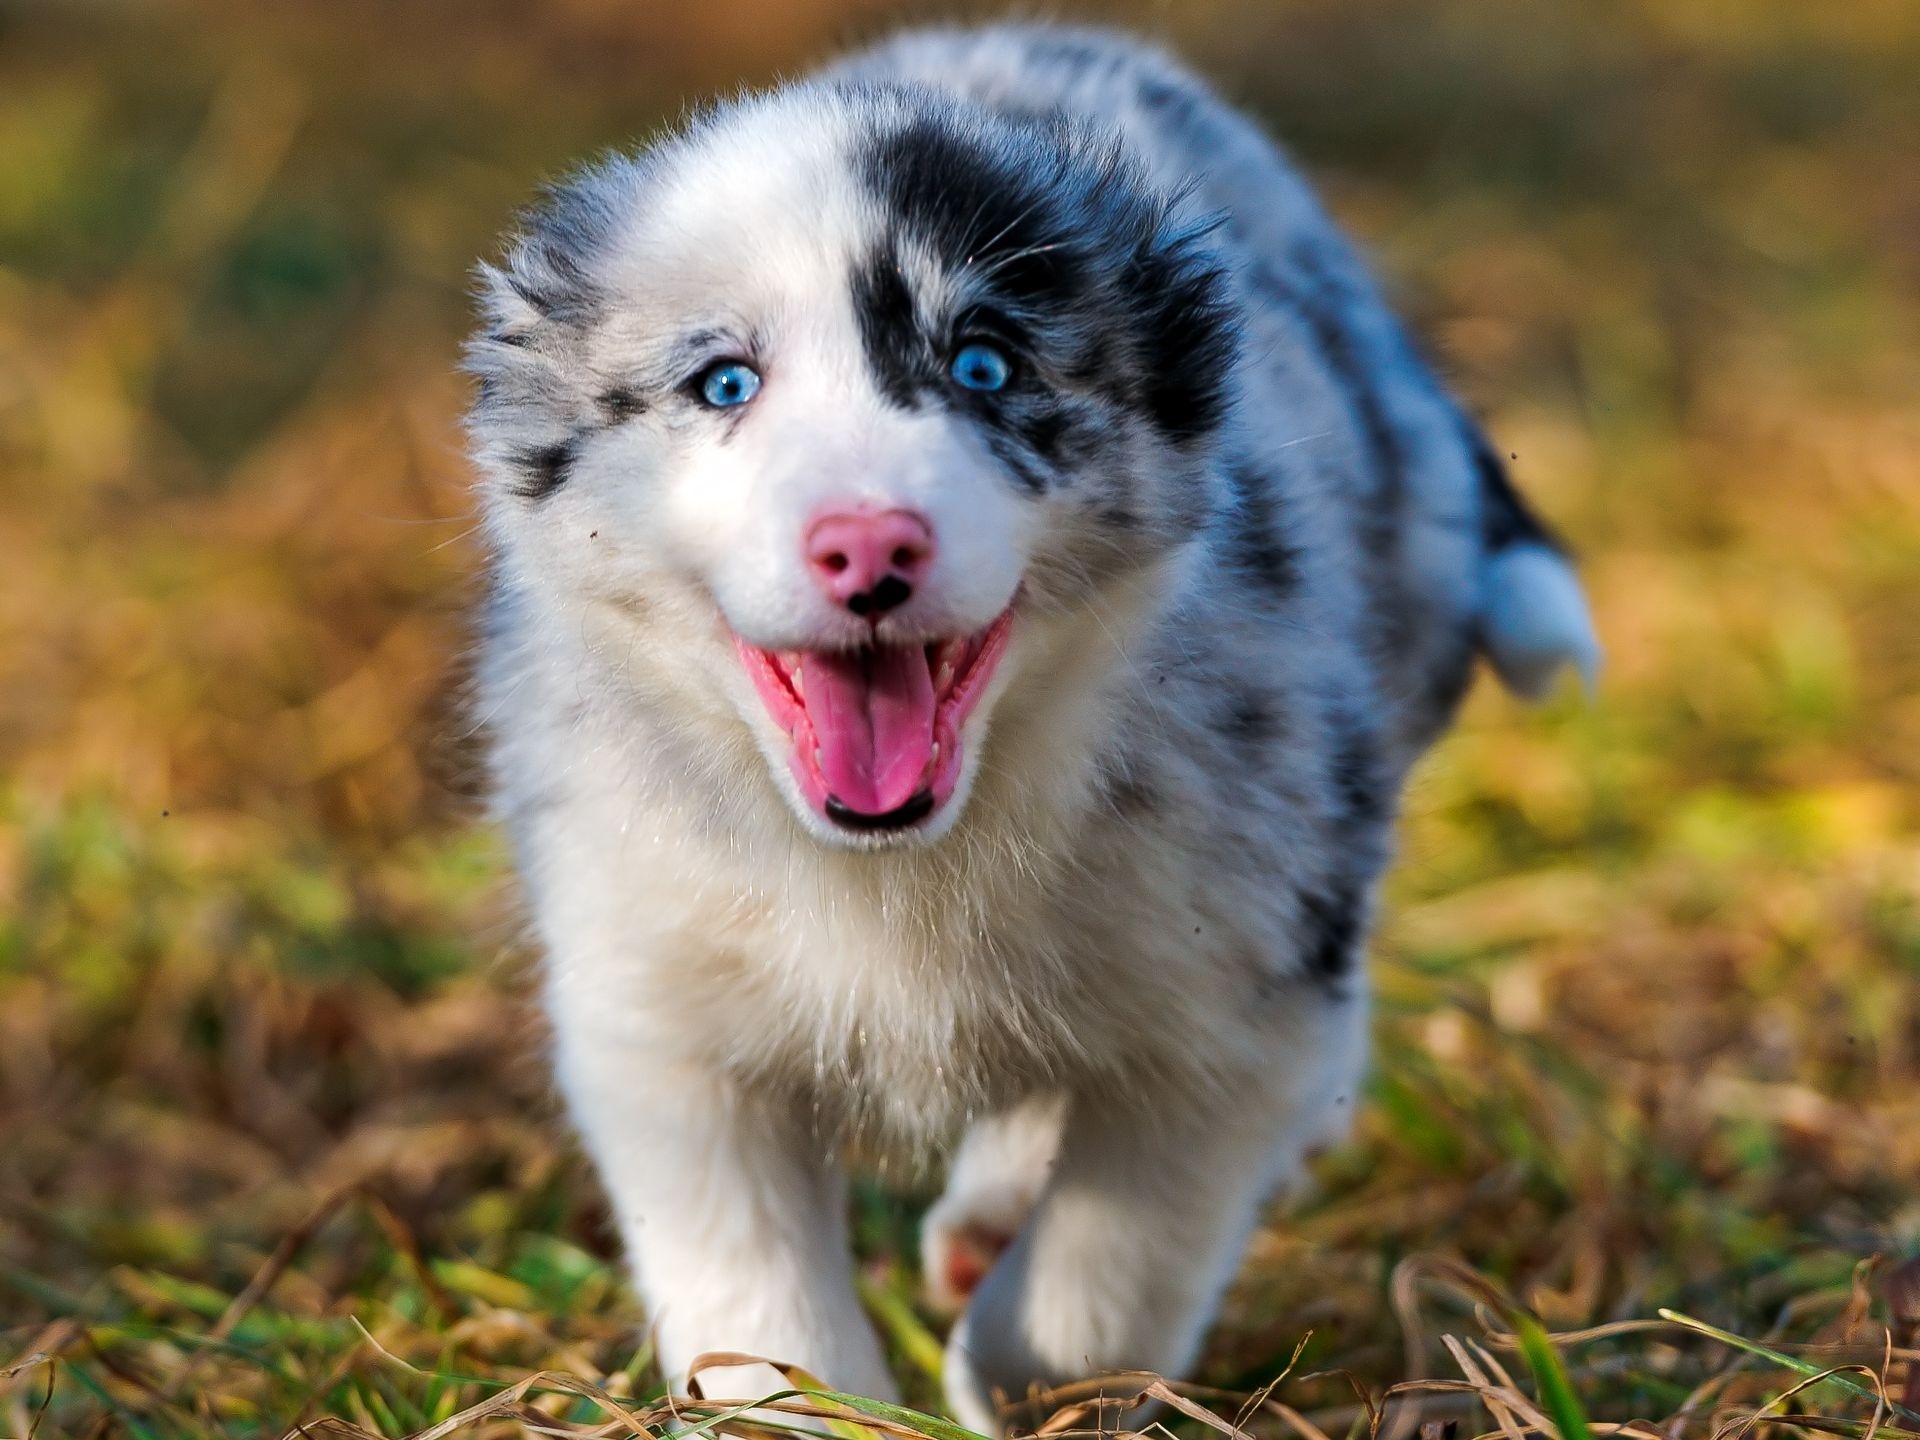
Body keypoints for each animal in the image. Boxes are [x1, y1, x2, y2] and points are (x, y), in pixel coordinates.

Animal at [460, 19, 1589, 1436]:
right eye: (724, 383)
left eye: (984, 365)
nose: (869, 543)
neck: (899, 871)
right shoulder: (655, 1018)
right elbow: (759, 1312)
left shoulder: (1236, 1004)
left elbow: (1104, 1275)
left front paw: (1033, 1388)